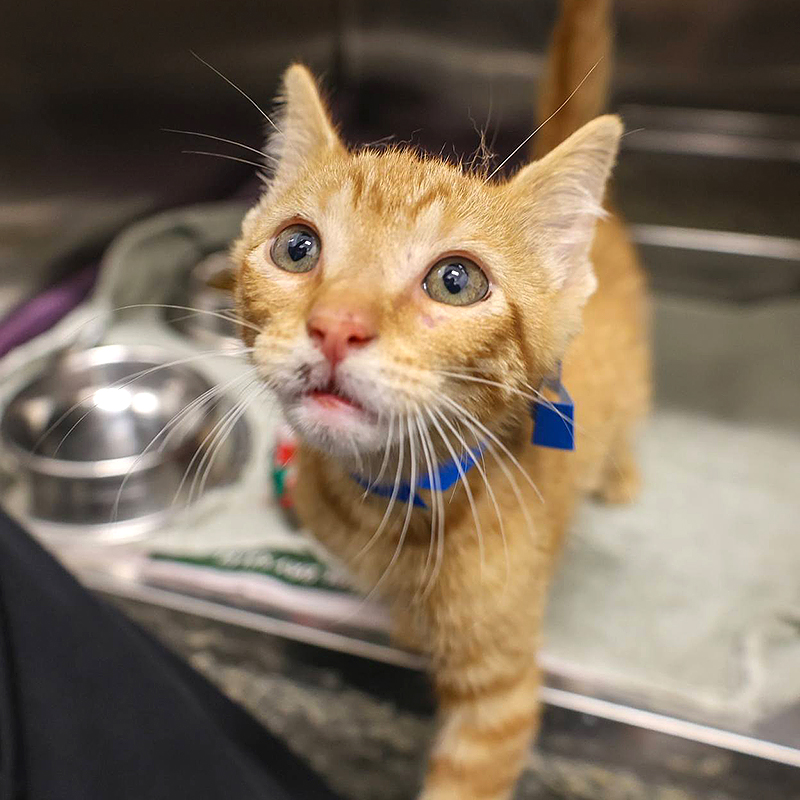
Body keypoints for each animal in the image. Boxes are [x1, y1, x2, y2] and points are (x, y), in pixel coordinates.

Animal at [234, 0, 648, 792]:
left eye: (456, 282)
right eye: (297, 248)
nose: (337, 327)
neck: (389, 506)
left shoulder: (500, 698)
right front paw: (403, 628)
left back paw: (621, 477)